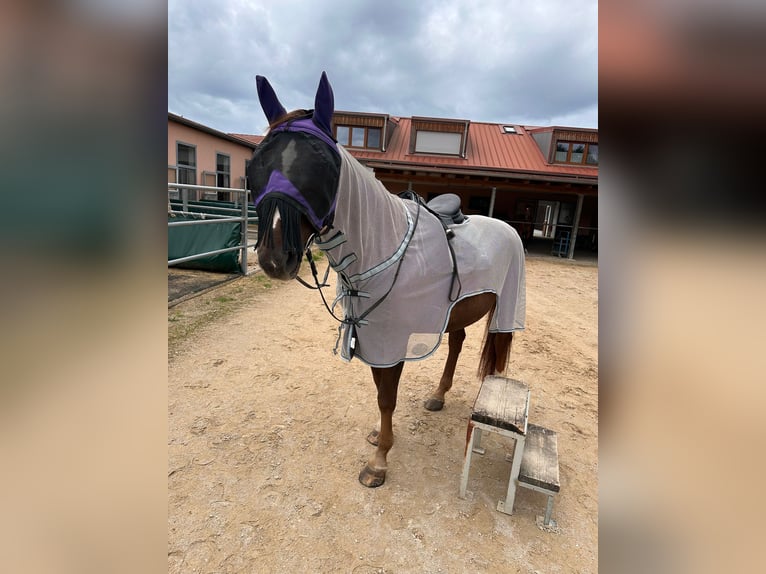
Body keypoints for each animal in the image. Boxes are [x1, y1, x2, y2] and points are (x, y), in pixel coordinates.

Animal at [247, 72, 526, 488]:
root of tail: (507, 228)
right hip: (458, 311)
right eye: (257, 164)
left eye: (321, 166)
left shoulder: (391, 342)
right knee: (457, 343)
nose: (273, 257)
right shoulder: (373, 338)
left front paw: (379, 461)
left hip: (506, 307)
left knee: (495, 356)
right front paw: (380, 437)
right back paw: (439, 395)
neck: (383, 243)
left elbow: (386, 397)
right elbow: (381, 392)